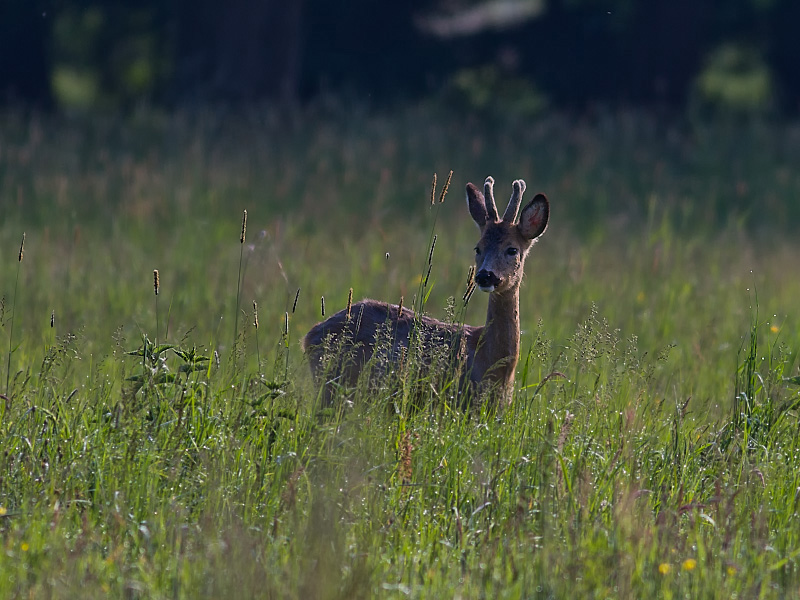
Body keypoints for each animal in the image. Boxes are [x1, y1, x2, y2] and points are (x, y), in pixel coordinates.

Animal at [302, 175, 552, 408]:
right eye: (478, 248)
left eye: (512, 250)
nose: (485, 275)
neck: (491, 361)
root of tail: (309, 336)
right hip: (333, 386)